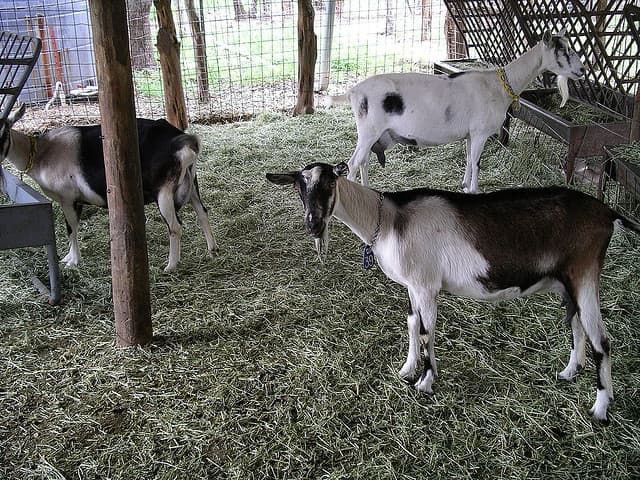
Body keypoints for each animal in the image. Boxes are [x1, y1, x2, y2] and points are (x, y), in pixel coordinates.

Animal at [0, 104, 218, 272]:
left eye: (3, 132)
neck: (41, 154)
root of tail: (180, 142)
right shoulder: (76, 200)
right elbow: (73, 227)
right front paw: (69, 257)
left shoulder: (67, 198)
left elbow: (70, 228)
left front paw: (73, 261)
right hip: (192, 183)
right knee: (202, 212)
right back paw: (212, 249)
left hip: (163, 191)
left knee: (175, 226)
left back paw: (171, 265)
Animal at [267, 162, 640, 421]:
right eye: (299, 187)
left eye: (330, 181)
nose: (313, 224)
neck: (388, 220)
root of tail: (608, 212)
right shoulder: (413, 286)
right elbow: (411, 324)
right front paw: (407, 369)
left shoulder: (426, 285)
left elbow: (427, 331)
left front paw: (425, 382)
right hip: (566, 281)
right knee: (576, 323)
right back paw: (569, 371)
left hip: (585, 274)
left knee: (602, 340)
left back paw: (600, 409)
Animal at [329, 30, 585, 192]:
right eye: (562, 50)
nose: (582, 70)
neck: (499, 84)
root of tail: (353, 91)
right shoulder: (481, 132)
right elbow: (477, 162)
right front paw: (474, 190)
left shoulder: (471, 134)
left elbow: (469, 159)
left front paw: (464, 185)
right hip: (369, 131)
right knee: (353, 163)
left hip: (374, 134)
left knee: (363, 162)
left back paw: (367, 190)